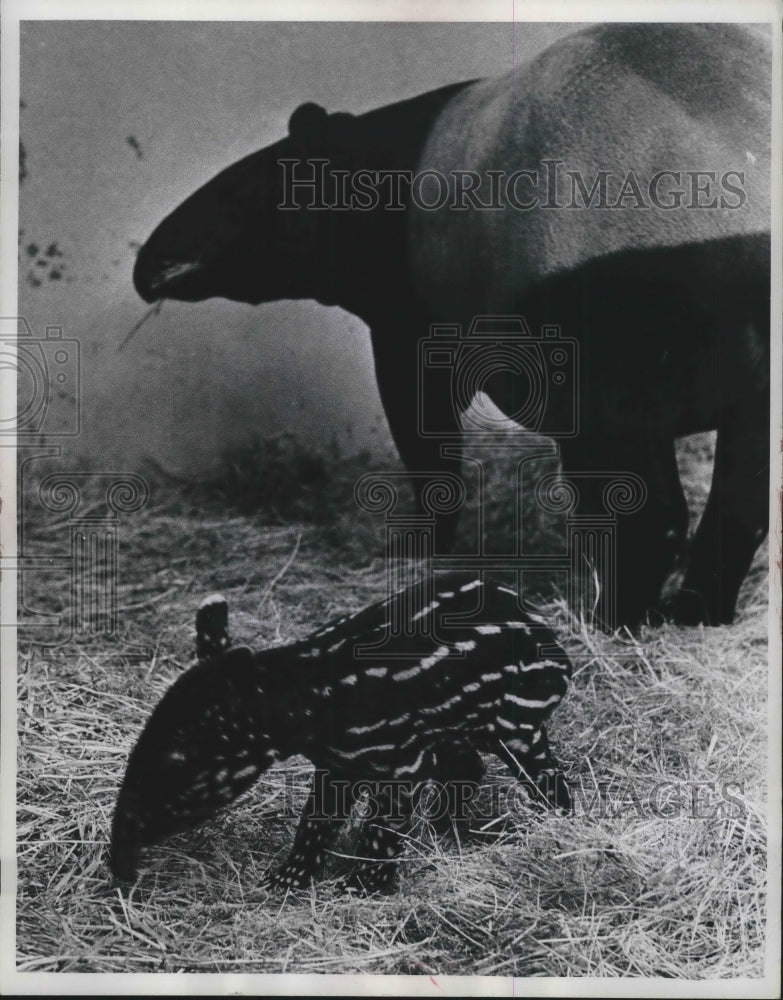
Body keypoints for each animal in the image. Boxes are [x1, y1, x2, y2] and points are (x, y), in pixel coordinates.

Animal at [110, 576, 572, 896]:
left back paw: (554, 825)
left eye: (178, 761)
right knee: (466, 765)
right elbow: (313, 823)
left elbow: (381, 831)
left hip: (518, 717)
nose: (120, 867)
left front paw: (361, 886)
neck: (309, 697)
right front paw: (285, 880)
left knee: (544, 774)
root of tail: (545, 627)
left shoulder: (400, 763)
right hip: (455, 725)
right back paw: (445, 830)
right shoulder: (337, 766)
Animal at [130, 21, 772, 624]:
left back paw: (613, 620)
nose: (145, 267)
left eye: (241, 201)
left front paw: (423, 548)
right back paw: (697, 615)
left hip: (616, 326)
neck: (370, 165)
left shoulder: (411, 317)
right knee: (742, 502)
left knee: (649, 512)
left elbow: (424, 429)